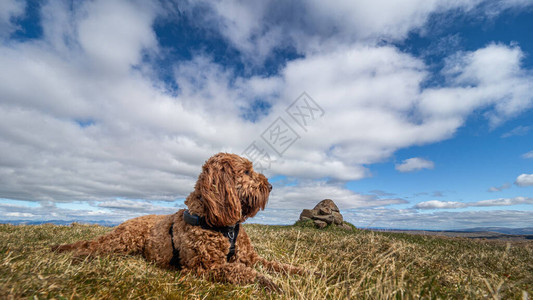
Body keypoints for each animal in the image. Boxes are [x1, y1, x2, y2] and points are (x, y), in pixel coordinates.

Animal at [53, 154, 306, 290]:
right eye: (245, 171)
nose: (270, 186)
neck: (221, 225)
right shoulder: (205, 267)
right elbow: (243, 272)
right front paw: (270, 283)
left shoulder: (250, 257)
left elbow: (278, 266)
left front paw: (307, 273)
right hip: (122, 241)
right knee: (91, 246)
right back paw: (75, 256)